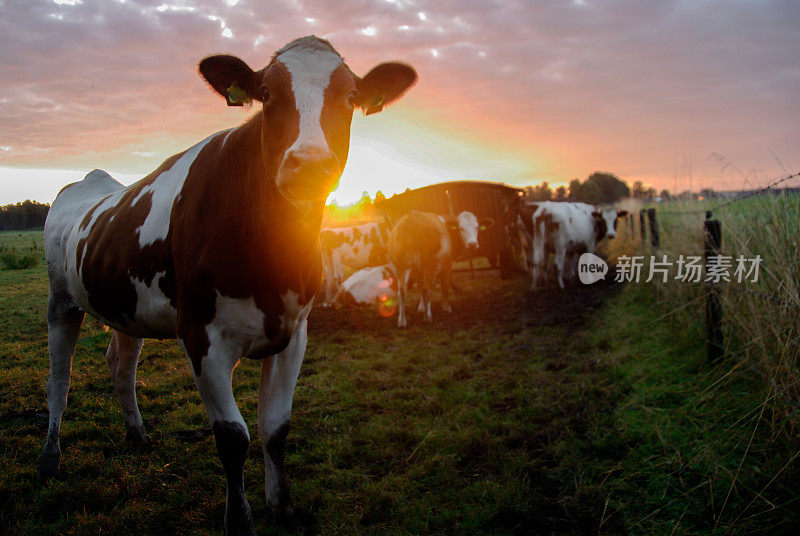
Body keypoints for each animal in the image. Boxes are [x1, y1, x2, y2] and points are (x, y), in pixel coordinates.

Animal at [40, 35, 416, 532]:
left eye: (351, 96)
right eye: (268, 94)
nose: (310, 165)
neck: (272, 263)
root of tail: (87, 182)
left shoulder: (294, 333)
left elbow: (276, 428)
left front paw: (283, 507)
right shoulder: (202, 337)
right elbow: (233, 438)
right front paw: (238, 520)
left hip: (125, 307)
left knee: (121, 366)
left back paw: (137, 434)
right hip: (61, 300)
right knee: (59, 378)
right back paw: (50, 456)